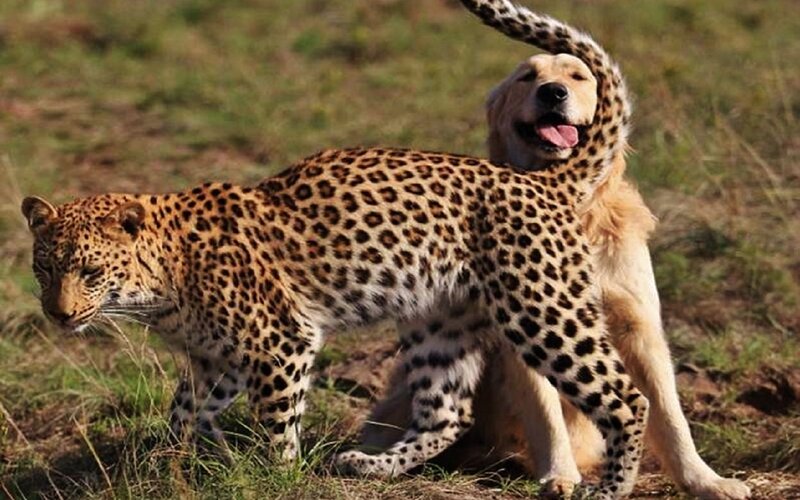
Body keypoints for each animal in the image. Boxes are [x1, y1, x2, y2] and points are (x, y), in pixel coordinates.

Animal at [21, 2, 646, 497]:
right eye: (44, 269)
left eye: (90, 270)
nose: (59, 314)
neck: (161, 284)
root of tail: (543, 181)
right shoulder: (214, 360)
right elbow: (184, 414)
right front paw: (168, 464)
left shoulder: (280, 342)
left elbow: (276, 424)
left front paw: (277, 477)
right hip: (440, 321)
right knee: (449, 412)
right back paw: (368, 465)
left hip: (544, 311)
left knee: (625, 396)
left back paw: (611, 488)